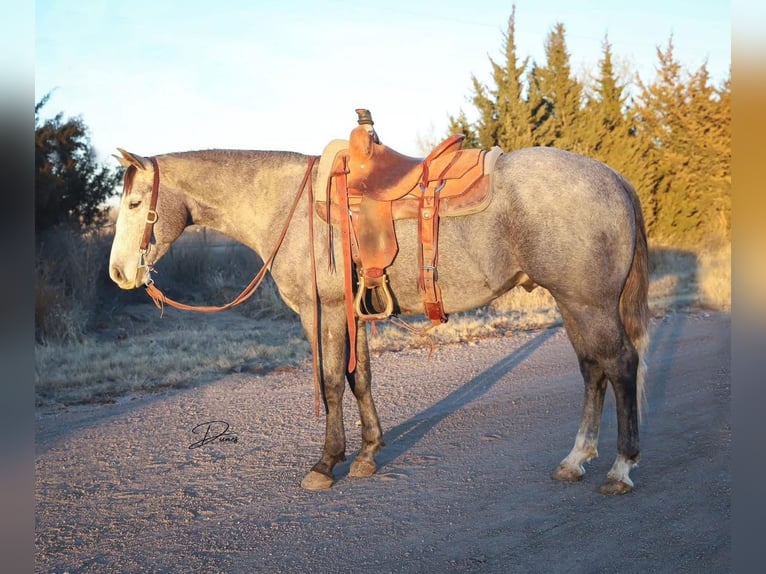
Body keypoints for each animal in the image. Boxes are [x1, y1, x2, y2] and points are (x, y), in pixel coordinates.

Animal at [108, 143, 648, 496]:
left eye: (135, 203)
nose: (119, 273)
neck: (292, 208)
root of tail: (615, 178)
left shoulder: (322, 311)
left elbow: (329, 382)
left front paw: (326, 464)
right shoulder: (354, 313)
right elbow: (360, 378)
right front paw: (368, 453)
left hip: (589, 303)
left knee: (620, 365)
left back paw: (620, 469)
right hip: (574, 303)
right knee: (592, 369)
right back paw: (575, 461)